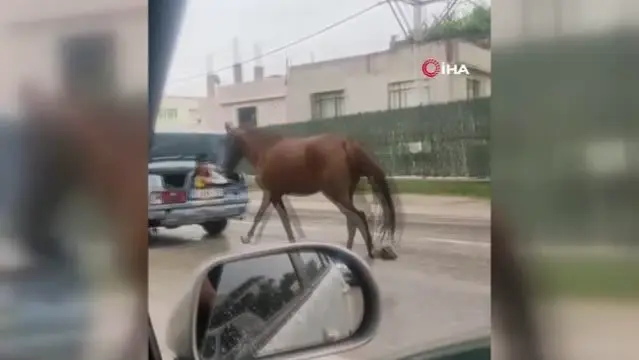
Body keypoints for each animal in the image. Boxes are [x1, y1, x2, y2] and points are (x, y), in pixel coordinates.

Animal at [222, 122, 398, 260]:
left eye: (228, 142)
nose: (224, 169)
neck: (264, 150)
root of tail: (346, 144)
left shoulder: (273, 194)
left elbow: (279, 219)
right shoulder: (272, 193)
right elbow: (266, 216)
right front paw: (249, 237)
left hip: (336, 194)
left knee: (358, 216)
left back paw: (368, 251)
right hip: (344, 194)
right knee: (352, 219)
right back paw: (350, 250)